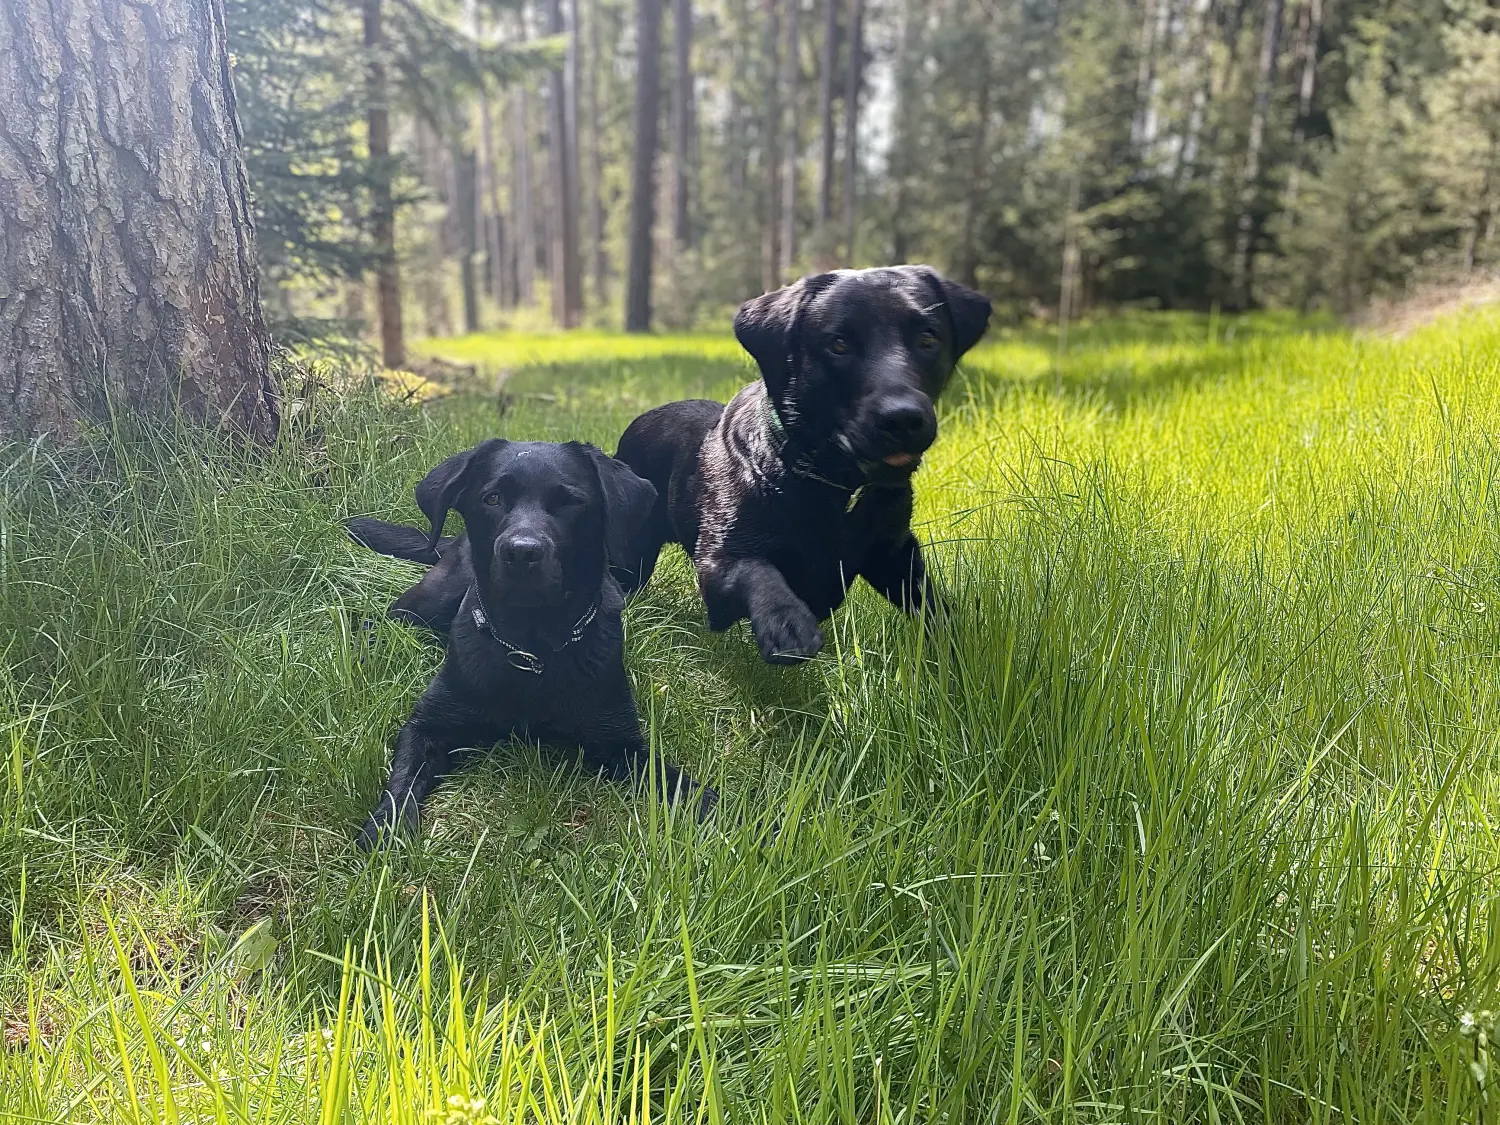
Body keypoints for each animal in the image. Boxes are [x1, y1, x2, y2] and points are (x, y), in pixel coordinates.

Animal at [345, 441, 714, 846]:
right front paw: (385, 829)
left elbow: (673, 779)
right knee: (385, 616)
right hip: (433, 598)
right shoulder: (428, 724)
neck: (530, 648)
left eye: (571, 502)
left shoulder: (619, 740)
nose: (522, 551)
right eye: (492, 498)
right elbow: (404, 780)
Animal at [615, 267, 990, 666]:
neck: (831, 483)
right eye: (838, 344)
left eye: (928, 337)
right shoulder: (718, 558)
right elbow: (757, 570)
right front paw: (787, 622)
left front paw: (954, 650)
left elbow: (929, 603)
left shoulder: (893, 551)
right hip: (633, 558)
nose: (902, 418)